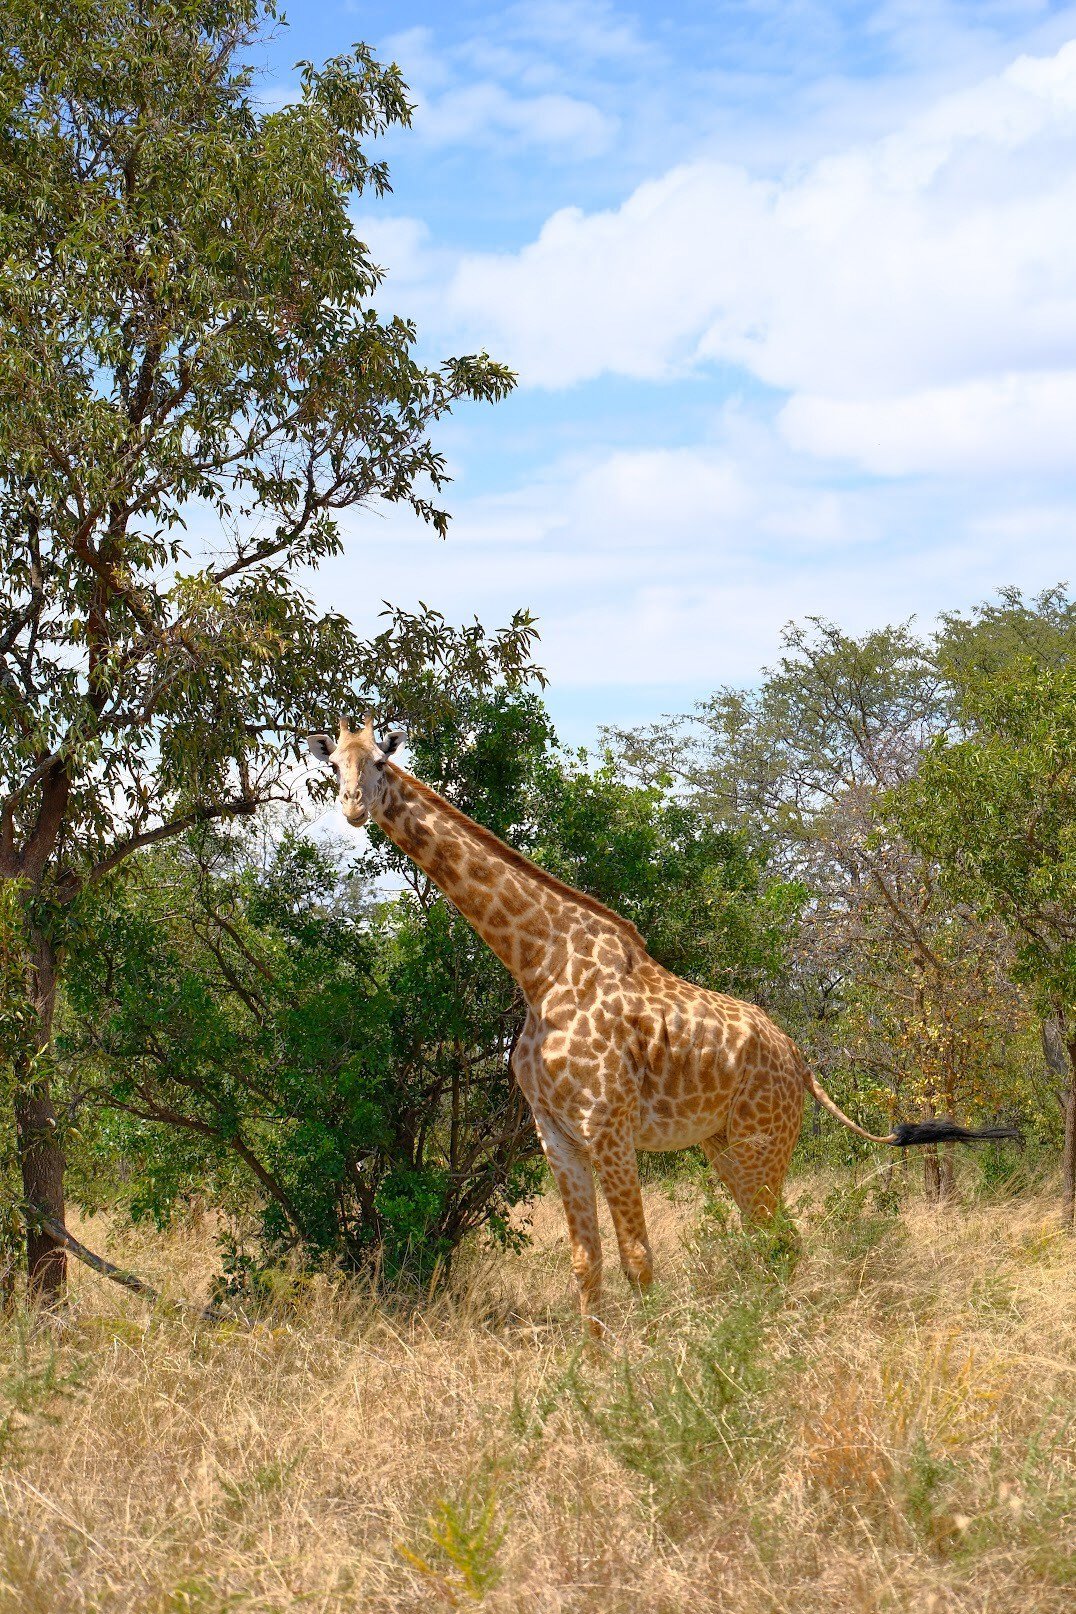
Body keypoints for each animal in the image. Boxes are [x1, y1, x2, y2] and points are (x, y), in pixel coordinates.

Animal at [307, 716, 1019, 1333]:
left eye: (379, 762)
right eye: (332, 765)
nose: (351, 808)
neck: (538, 967)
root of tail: (803, 1064)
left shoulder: (609, 1126)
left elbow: (638, 1261)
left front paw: (646, 1376)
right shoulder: (555, 1134)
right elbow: (586, 1264)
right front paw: (594, 1373)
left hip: (763, 1143)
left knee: (781, 1239)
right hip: (724, 1145)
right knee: (775, 1239)